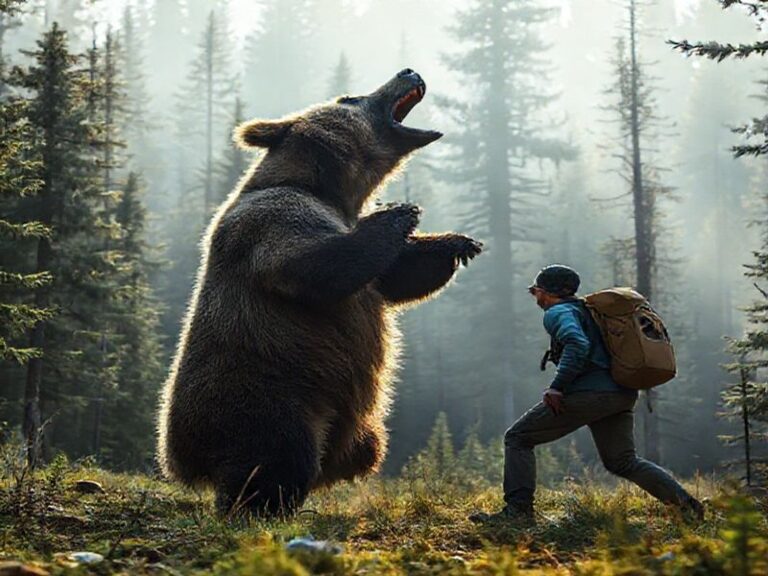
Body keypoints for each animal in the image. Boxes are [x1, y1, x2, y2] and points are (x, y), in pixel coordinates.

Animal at [157, 69, 483, 517]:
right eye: (350, 96)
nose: (408, 71)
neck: (332, 189)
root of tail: (181, 459)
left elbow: (392, 275)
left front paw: (457, 242)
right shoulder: (275, 218)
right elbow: (314, 266)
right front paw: (400, 211)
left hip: (357, 427)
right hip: (269, 393)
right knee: (277, 455)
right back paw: (259, 506)